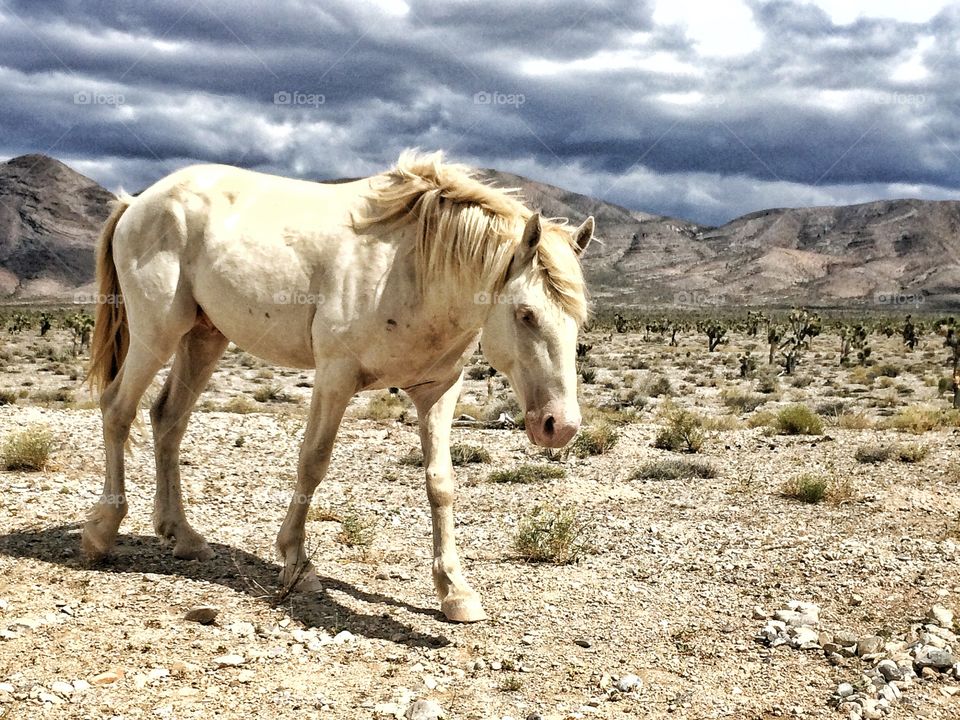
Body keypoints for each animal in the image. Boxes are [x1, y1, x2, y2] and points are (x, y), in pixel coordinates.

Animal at [82, 150, 593, 622]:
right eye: (526, 314)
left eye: (580, 318)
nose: (560, 426)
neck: (412, 268)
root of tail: (136, 202)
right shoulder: (334, 376)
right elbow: (313, 463)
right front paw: (297, 563)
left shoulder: (439, 390)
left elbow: (441, 482)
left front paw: (454, 589)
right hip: (156, 334)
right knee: (118, 410)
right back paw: (102, 531)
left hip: (204, 337)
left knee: (167, 418)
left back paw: (183, 536)